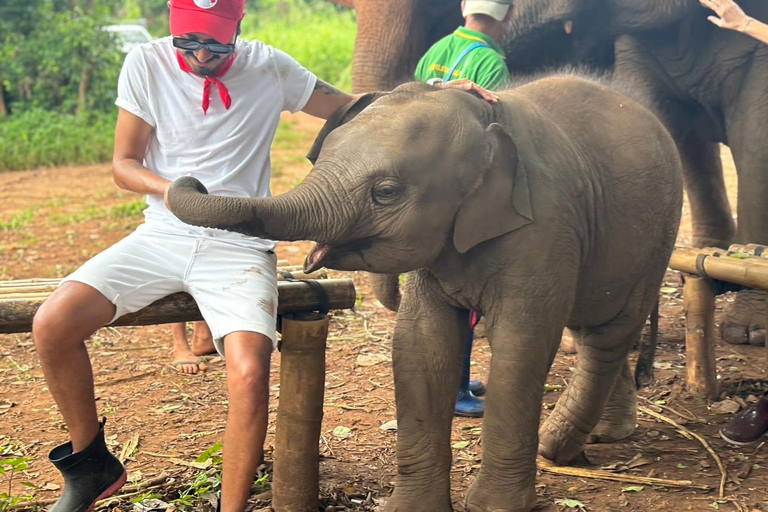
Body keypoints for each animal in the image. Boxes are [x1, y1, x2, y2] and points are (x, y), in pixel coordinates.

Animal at [170, 76, 684, 512]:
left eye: (386, 192)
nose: (195, 178)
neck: (486, 121)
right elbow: (420, 345)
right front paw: (410, 509)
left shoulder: (545, 227)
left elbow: (521, 345)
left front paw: (493, 508)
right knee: (594, 324)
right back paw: (603, 436)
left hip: (659, 233)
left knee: (608, 335)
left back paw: (555, 446)